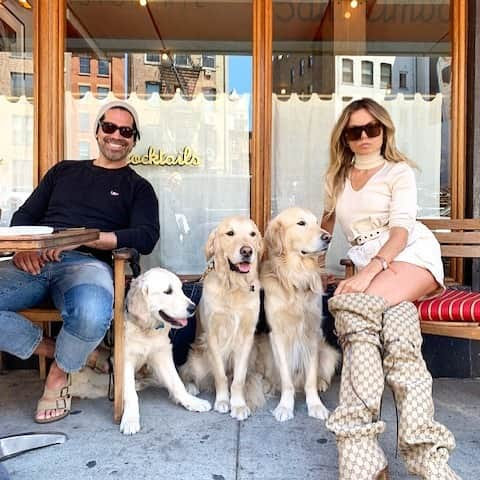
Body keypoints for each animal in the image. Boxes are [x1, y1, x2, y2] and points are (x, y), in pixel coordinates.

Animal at [180, 217, 264, 420]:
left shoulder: (247, 337)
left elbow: (239, 379)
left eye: (252, 234)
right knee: (187, 373)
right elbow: (220, 375)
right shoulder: (212, 335)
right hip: (197, 359)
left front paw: (239, 404)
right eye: (230, 233)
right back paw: (191, 387)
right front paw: (223, 401)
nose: (247, 251)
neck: (234, 286)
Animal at [258, 206, 338, 420]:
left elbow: (310, 378)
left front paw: (316, 405)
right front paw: (285, 406)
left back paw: (321, 383)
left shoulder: (312, 332)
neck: (296, 276)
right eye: (301, 223)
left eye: (316, 222)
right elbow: (286, 379)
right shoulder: (277, 335)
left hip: (329, 353)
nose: (328, 237)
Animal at [320, 98, 460, 480]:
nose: (366, 137)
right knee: (373, 329)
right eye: (354, 130)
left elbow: (397, 223)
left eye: (372, 127)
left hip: (412, 274)